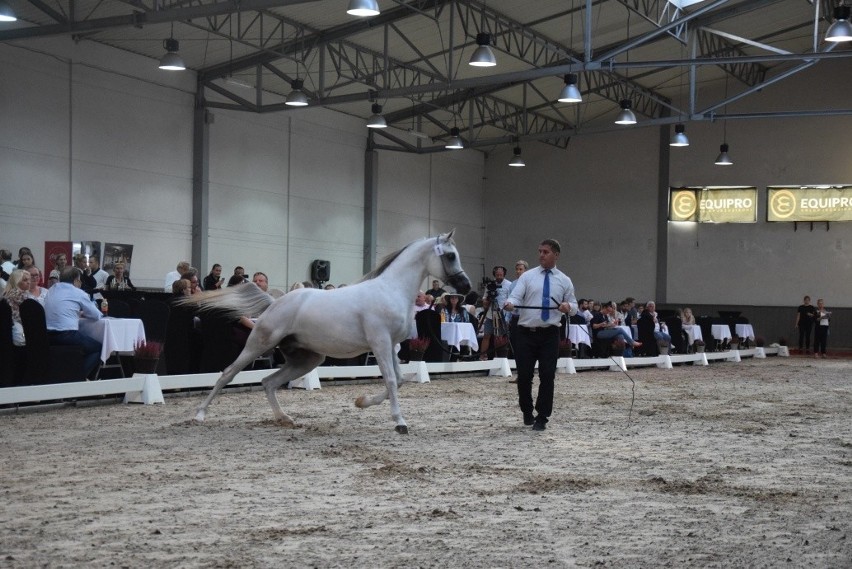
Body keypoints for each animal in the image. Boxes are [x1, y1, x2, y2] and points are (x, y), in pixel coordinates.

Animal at [181, 229, 472, 432]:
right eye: (450, 255)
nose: (466, 286)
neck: (391, 290)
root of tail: (274, 302)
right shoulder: (379, 342)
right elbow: (391, 380)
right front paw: (400, 422)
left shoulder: (391, 346)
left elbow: (399, 380)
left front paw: (361, 402)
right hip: (259, 345)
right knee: (227, 374)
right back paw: (199, 415)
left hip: (307, 359)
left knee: (268, 382)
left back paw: (285, 418)